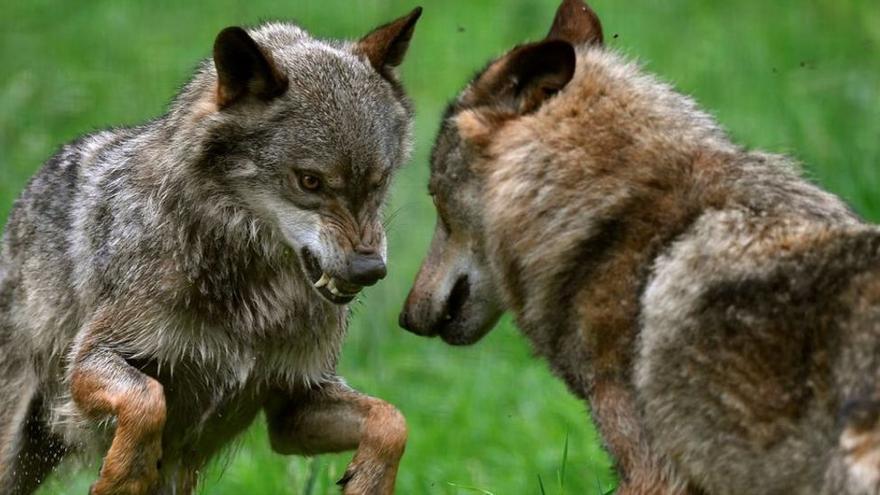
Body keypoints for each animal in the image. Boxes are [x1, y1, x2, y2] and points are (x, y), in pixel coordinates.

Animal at [0, 7, 422, 495]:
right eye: (309, 181)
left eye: (379, 181)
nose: (369, 268)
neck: (259, 297)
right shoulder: (89, 358)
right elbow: (147, 400)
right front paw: (124, 475)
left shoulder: (295, 405)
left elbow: (393, 421)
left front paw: (369, 481)